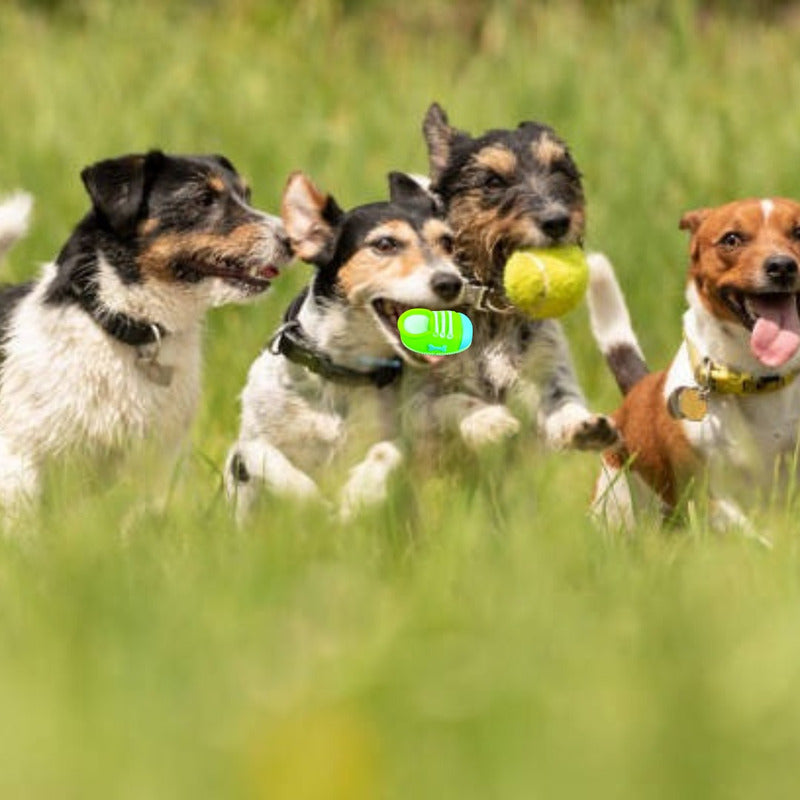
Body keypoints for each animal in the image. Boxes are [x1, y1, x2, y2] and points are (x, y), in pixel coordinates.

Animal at [0, 150, 290, 510]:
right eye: (203, 199)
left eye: (246, 195)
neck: (128, 330)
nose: (292, 241)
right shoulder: (18, 463)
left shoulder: (157, 462)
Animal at [223, 170, 462, 520]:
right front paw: (310, 501)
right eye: (385, 244)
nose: (451, 282)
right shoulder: (247, 449)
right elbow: (262, 455)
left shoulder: (401, 433)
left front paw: (358, 494)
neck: (342, 370)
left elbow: (389, 451)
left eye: (447, 242)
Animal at [410, 105, 616, 454]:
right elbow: (452, 401)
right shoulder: (414, 405)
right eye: (493, 181)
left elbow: (563, 403)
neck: (493, 314)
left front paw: (583, 425)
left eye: (561, 170)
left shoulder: (550, 372)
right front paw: (487, 421)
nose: (557, 221)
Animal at [588, 198, 800, 532]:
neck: (757, 378)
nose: (782, 266)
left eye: (799, 231)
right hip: (616, 504)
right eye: (731, 239)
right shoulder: (707, 496)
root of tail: (637, 389)